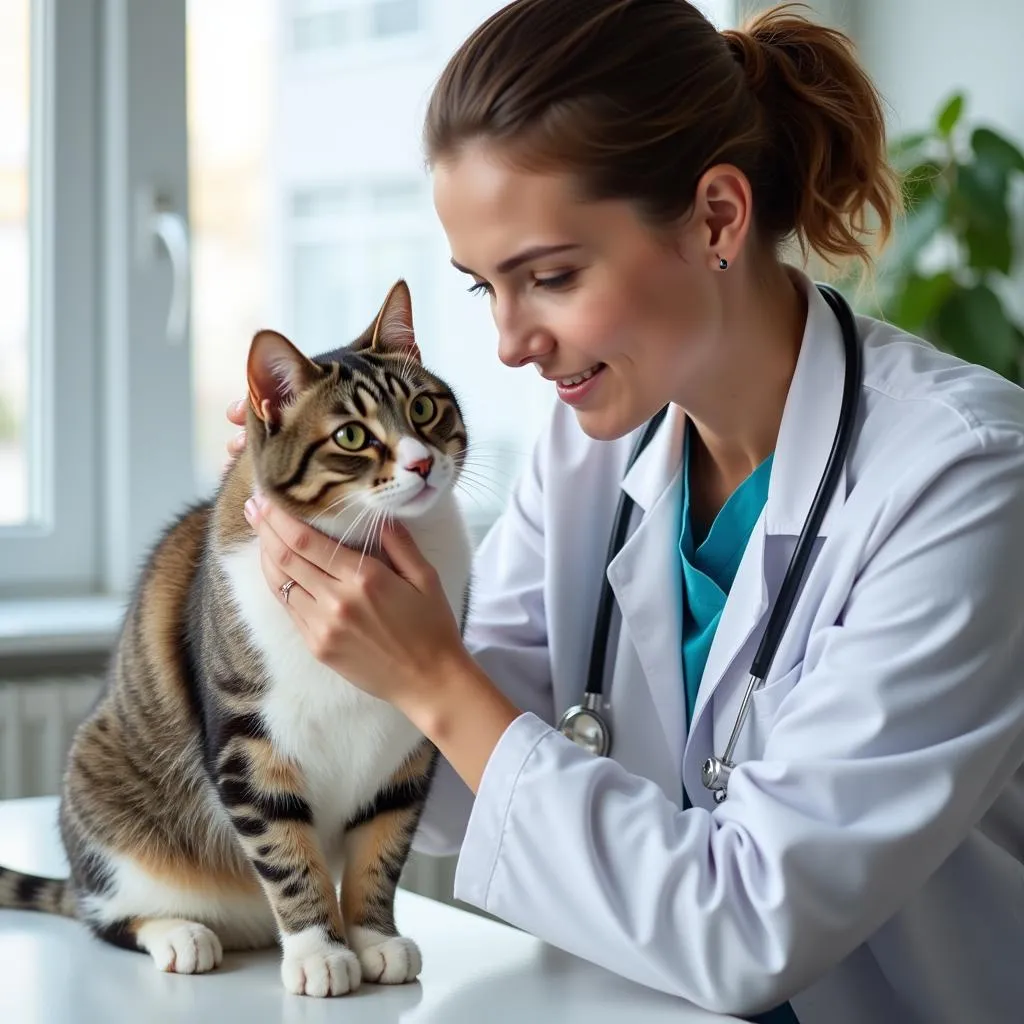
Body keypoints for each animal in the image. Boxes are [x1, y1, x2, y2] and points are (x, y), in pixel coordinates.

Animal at [0, 282, 471, 999]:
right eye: (352, 435)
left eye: (423, 407)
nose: (420, 463)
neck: (376, 547)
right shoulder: (248, 738)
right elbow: (285, 849)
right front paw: (319, 950)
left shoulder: (410, 744)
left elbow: (382, 846)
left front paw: (372, 938)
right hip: (103, 795)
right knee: (104, 914)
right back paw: (180, 933)